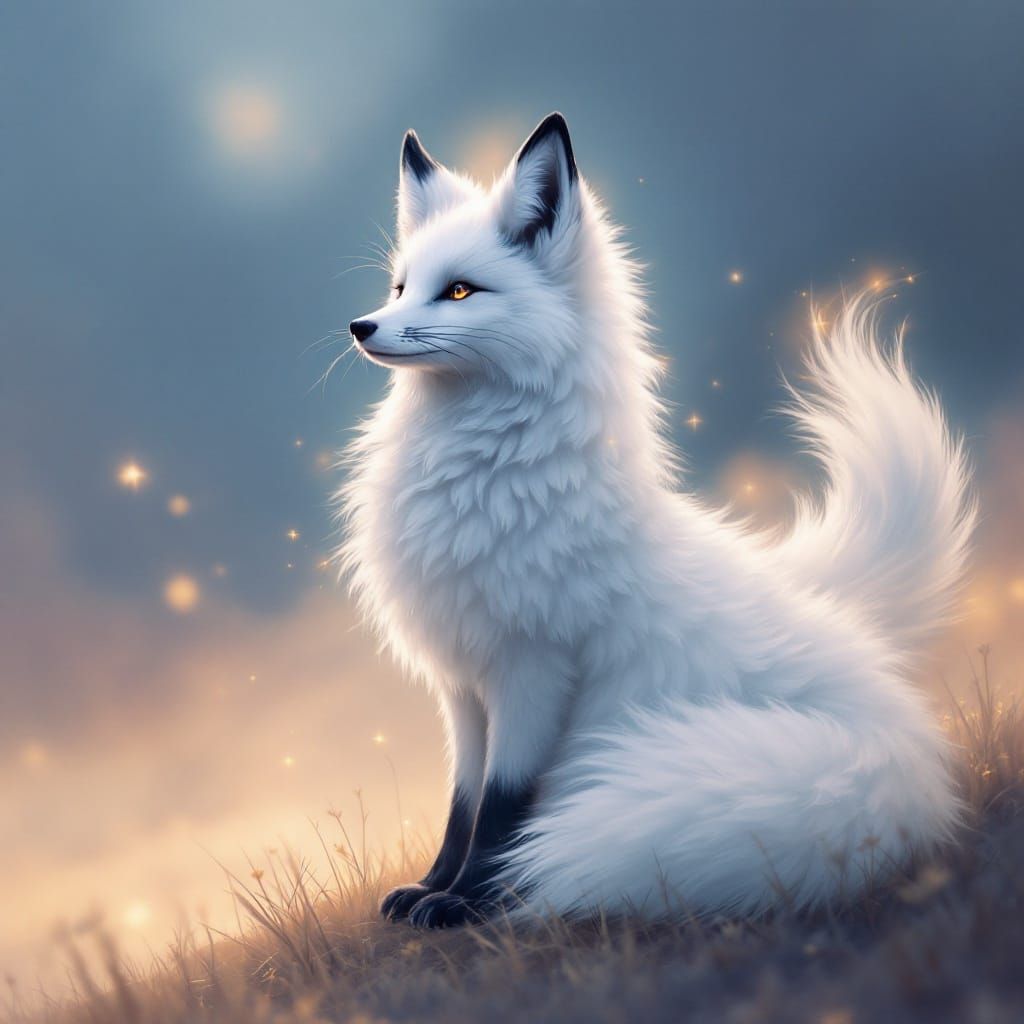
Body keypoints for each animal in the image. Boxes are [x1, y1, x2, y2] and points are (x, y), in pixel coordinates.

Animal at [336, 113, 975, 929]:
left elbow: (503, 808)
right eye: (400, 287)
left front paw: (472, 903)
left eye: (457, 290)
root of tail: (915, 748)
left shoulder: (532, 671)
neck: (482, 481)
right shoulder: (464, 683)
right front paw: (429, 889)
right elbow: (460, 805)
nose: (361, 326)